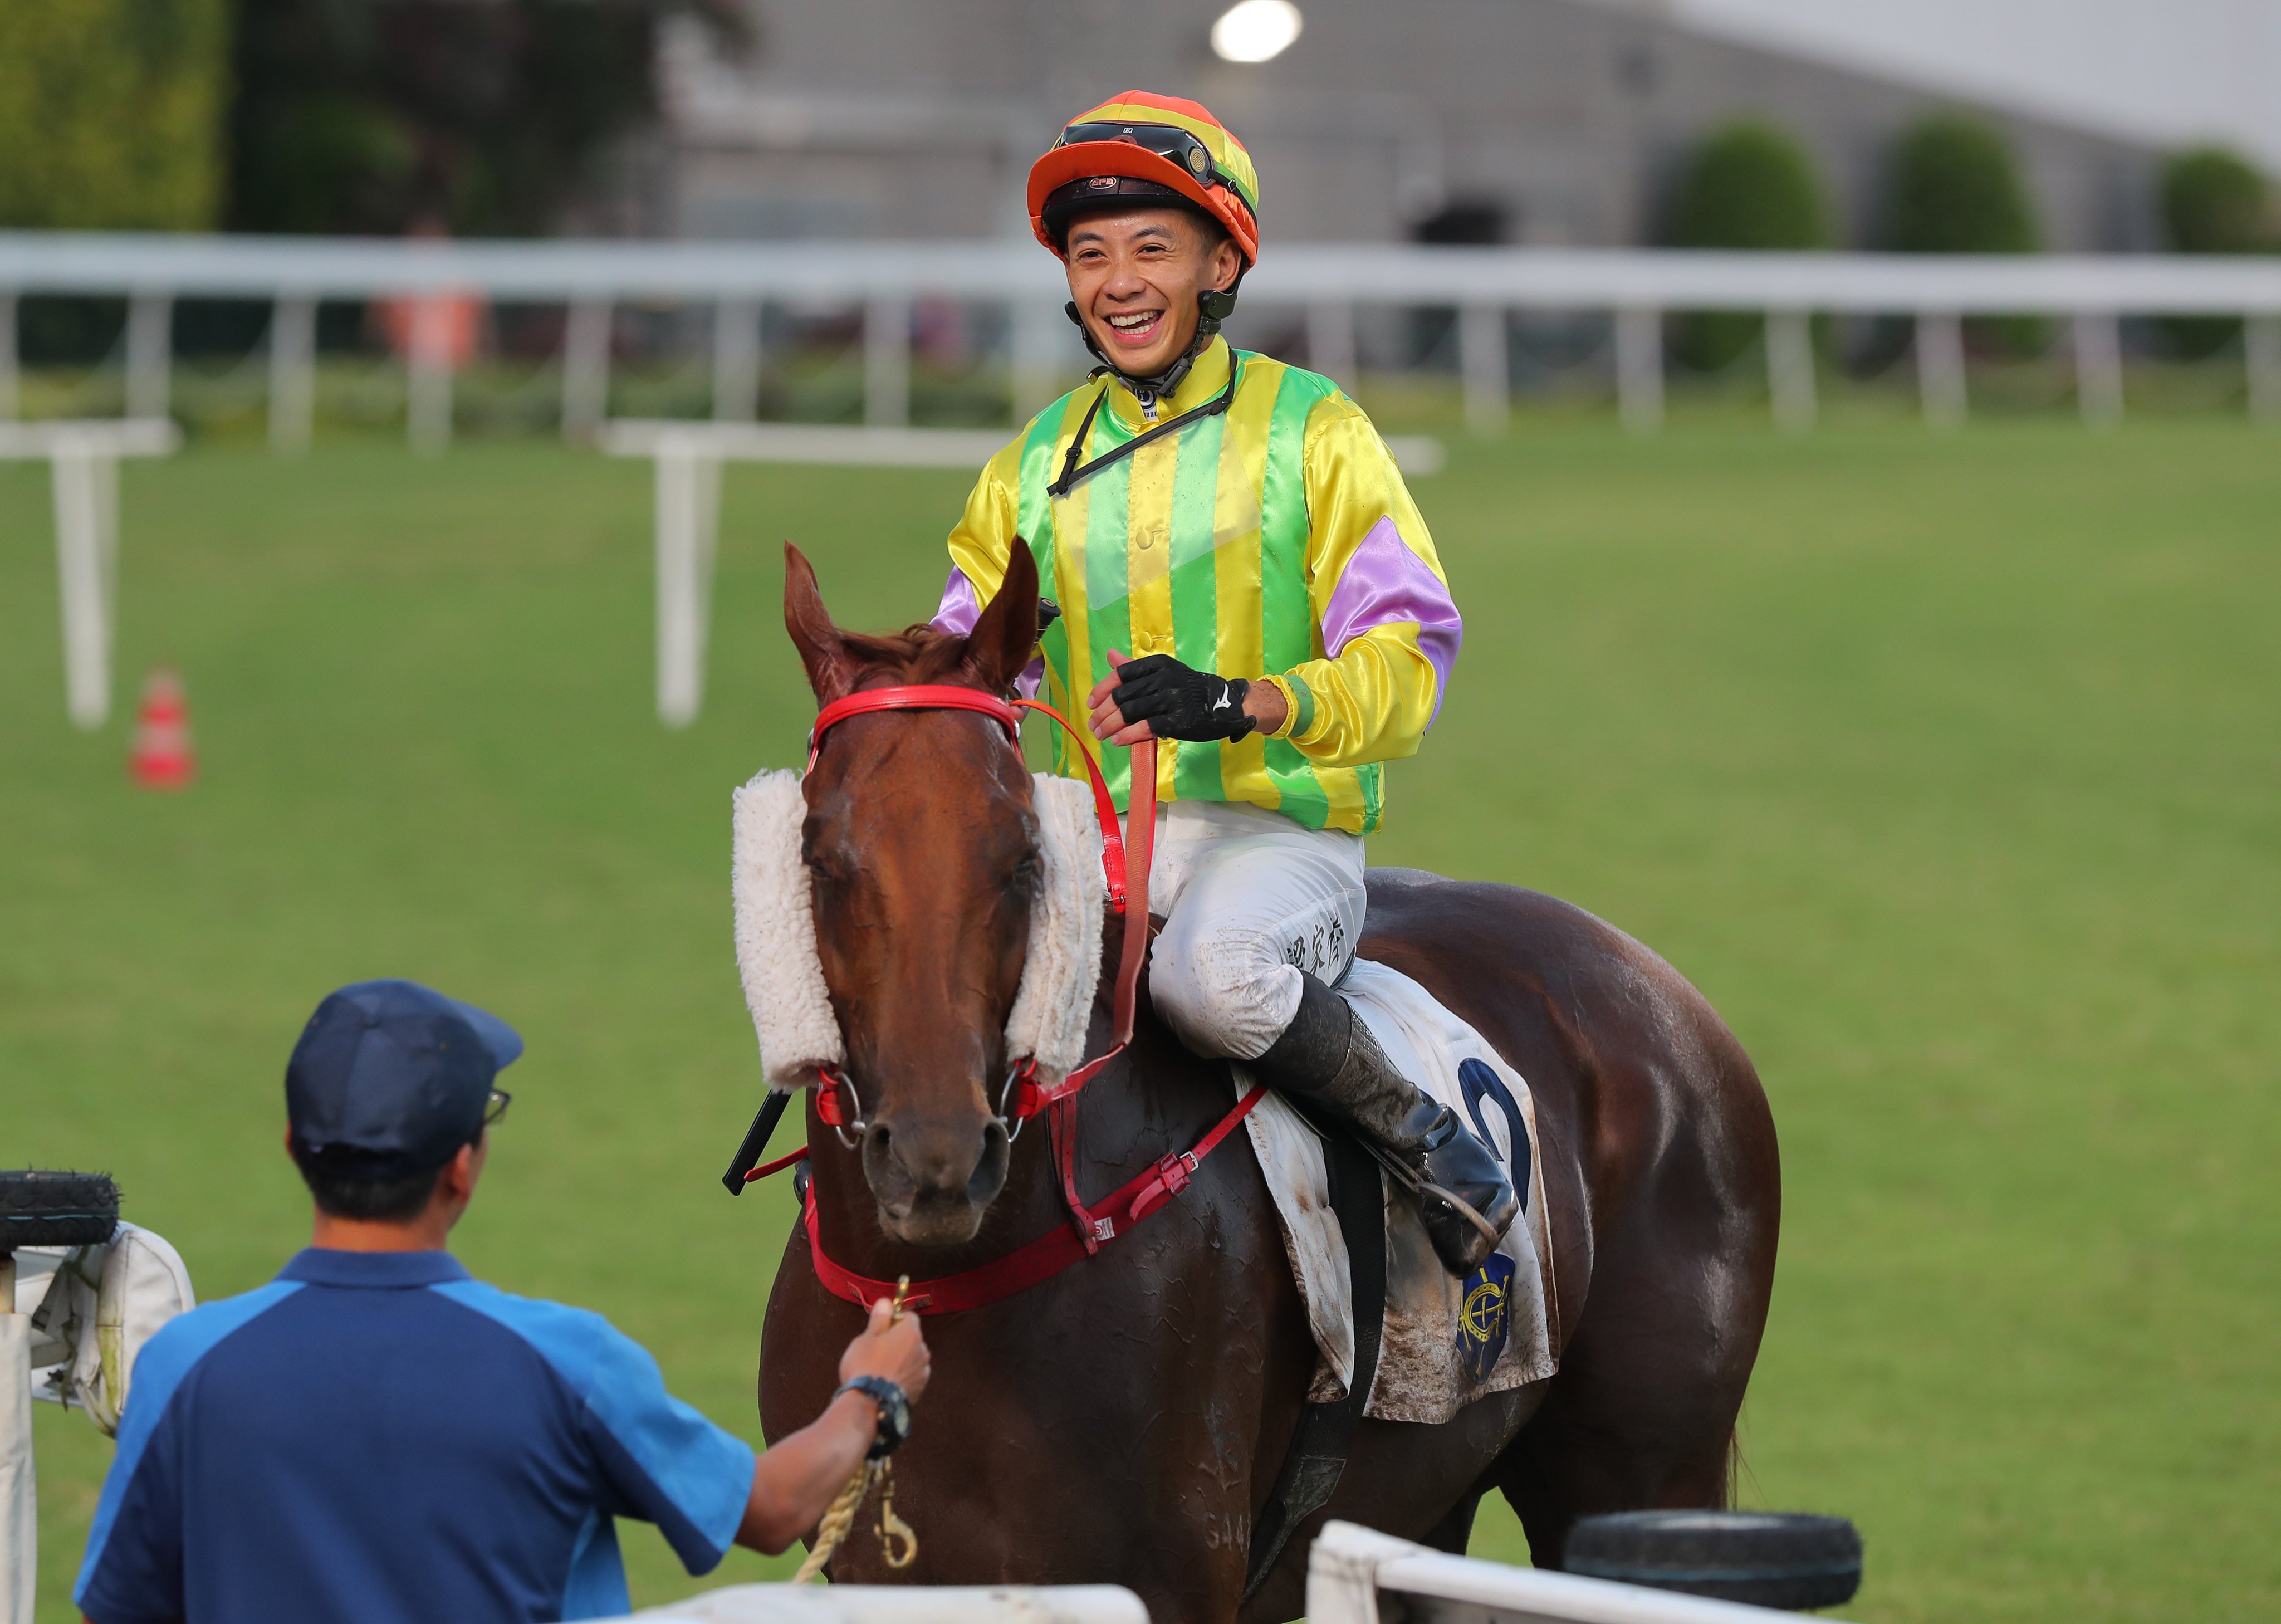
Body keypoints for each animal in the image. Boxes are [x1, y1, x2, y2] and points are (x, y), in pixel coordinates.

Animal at [752, 545, 1779, 1624]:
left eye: (1024, 854)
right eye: (820, 855)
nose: (938, 1157)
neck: (952, 1287)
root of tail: (1667, 992)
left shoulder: (1172, 1576)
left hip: (1644, 1483)